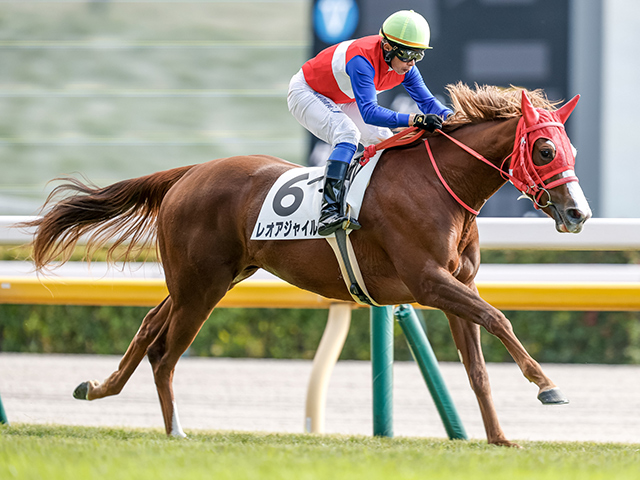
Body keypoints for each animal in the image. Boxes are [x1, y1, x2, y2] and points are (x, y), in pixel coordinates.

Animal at [24, 83, 591, 447]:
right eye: (544, 149)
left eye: (570, 147)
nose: (578, 213)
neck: (439, 186)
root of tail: (188, 173)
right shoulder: (428, 283)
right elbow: (499, 317)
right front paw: (547, 385)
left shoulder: (456, 286)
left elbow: (477, 367)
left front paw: (498, 438)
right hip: (201, 286)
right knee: (164, 353)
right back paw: (176, 430)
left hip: (206, 280)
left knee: (147, 326)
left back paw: (98, 388)